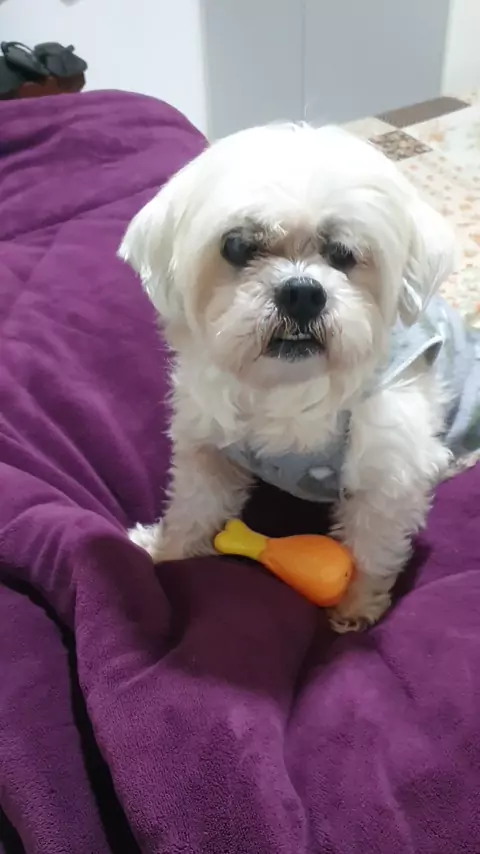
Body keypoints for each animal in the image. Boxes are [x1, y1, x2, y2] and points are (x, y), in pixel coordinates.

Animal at [119, 122, 471, 633]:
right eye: (237, 246)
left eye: (344, 253)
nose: (302, 293)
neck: (288, 386)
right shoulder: (207, 445)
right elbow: (194, 504)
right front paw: (165, 553)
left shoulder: (389, 470)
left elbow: (372, 546)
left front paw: (354, 608)